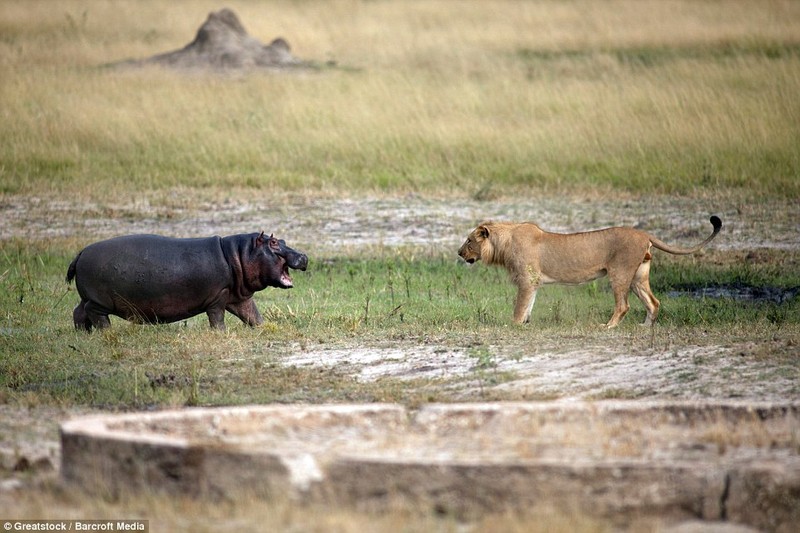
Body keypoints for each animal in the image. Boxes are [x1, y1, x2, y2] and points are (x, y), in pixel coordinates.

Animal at [65, 232, 308, 330]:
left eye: (281, 239)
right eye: (273, 243)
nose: (304, 256)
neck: (238, 254)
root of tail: (81, 252)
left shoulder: (239, 297)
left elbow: (253, 316)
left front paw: (267, 328)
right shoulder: (218, 296)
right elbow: (217, 318)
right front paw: (220, 334)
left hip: (86, 296)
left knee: (78, 312)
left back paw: (83, 334)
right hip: (99, 301)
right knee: (95, 314)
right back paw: (107, 332)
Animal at [456, 215, 724, 324]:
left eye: (469, 241)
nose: (459, 253)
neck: (504, 243)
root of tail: (644, 233)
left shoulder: (527, 280)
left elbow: (520, 307)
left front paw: (514, 325)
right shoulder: (533, 283)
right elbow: (528, 306)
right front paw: (525, 324)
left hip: (620, 273)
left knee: (623, 305)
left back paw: (608, 327)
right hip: (638, 276)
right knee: (653, 302)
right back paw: (645, 328)